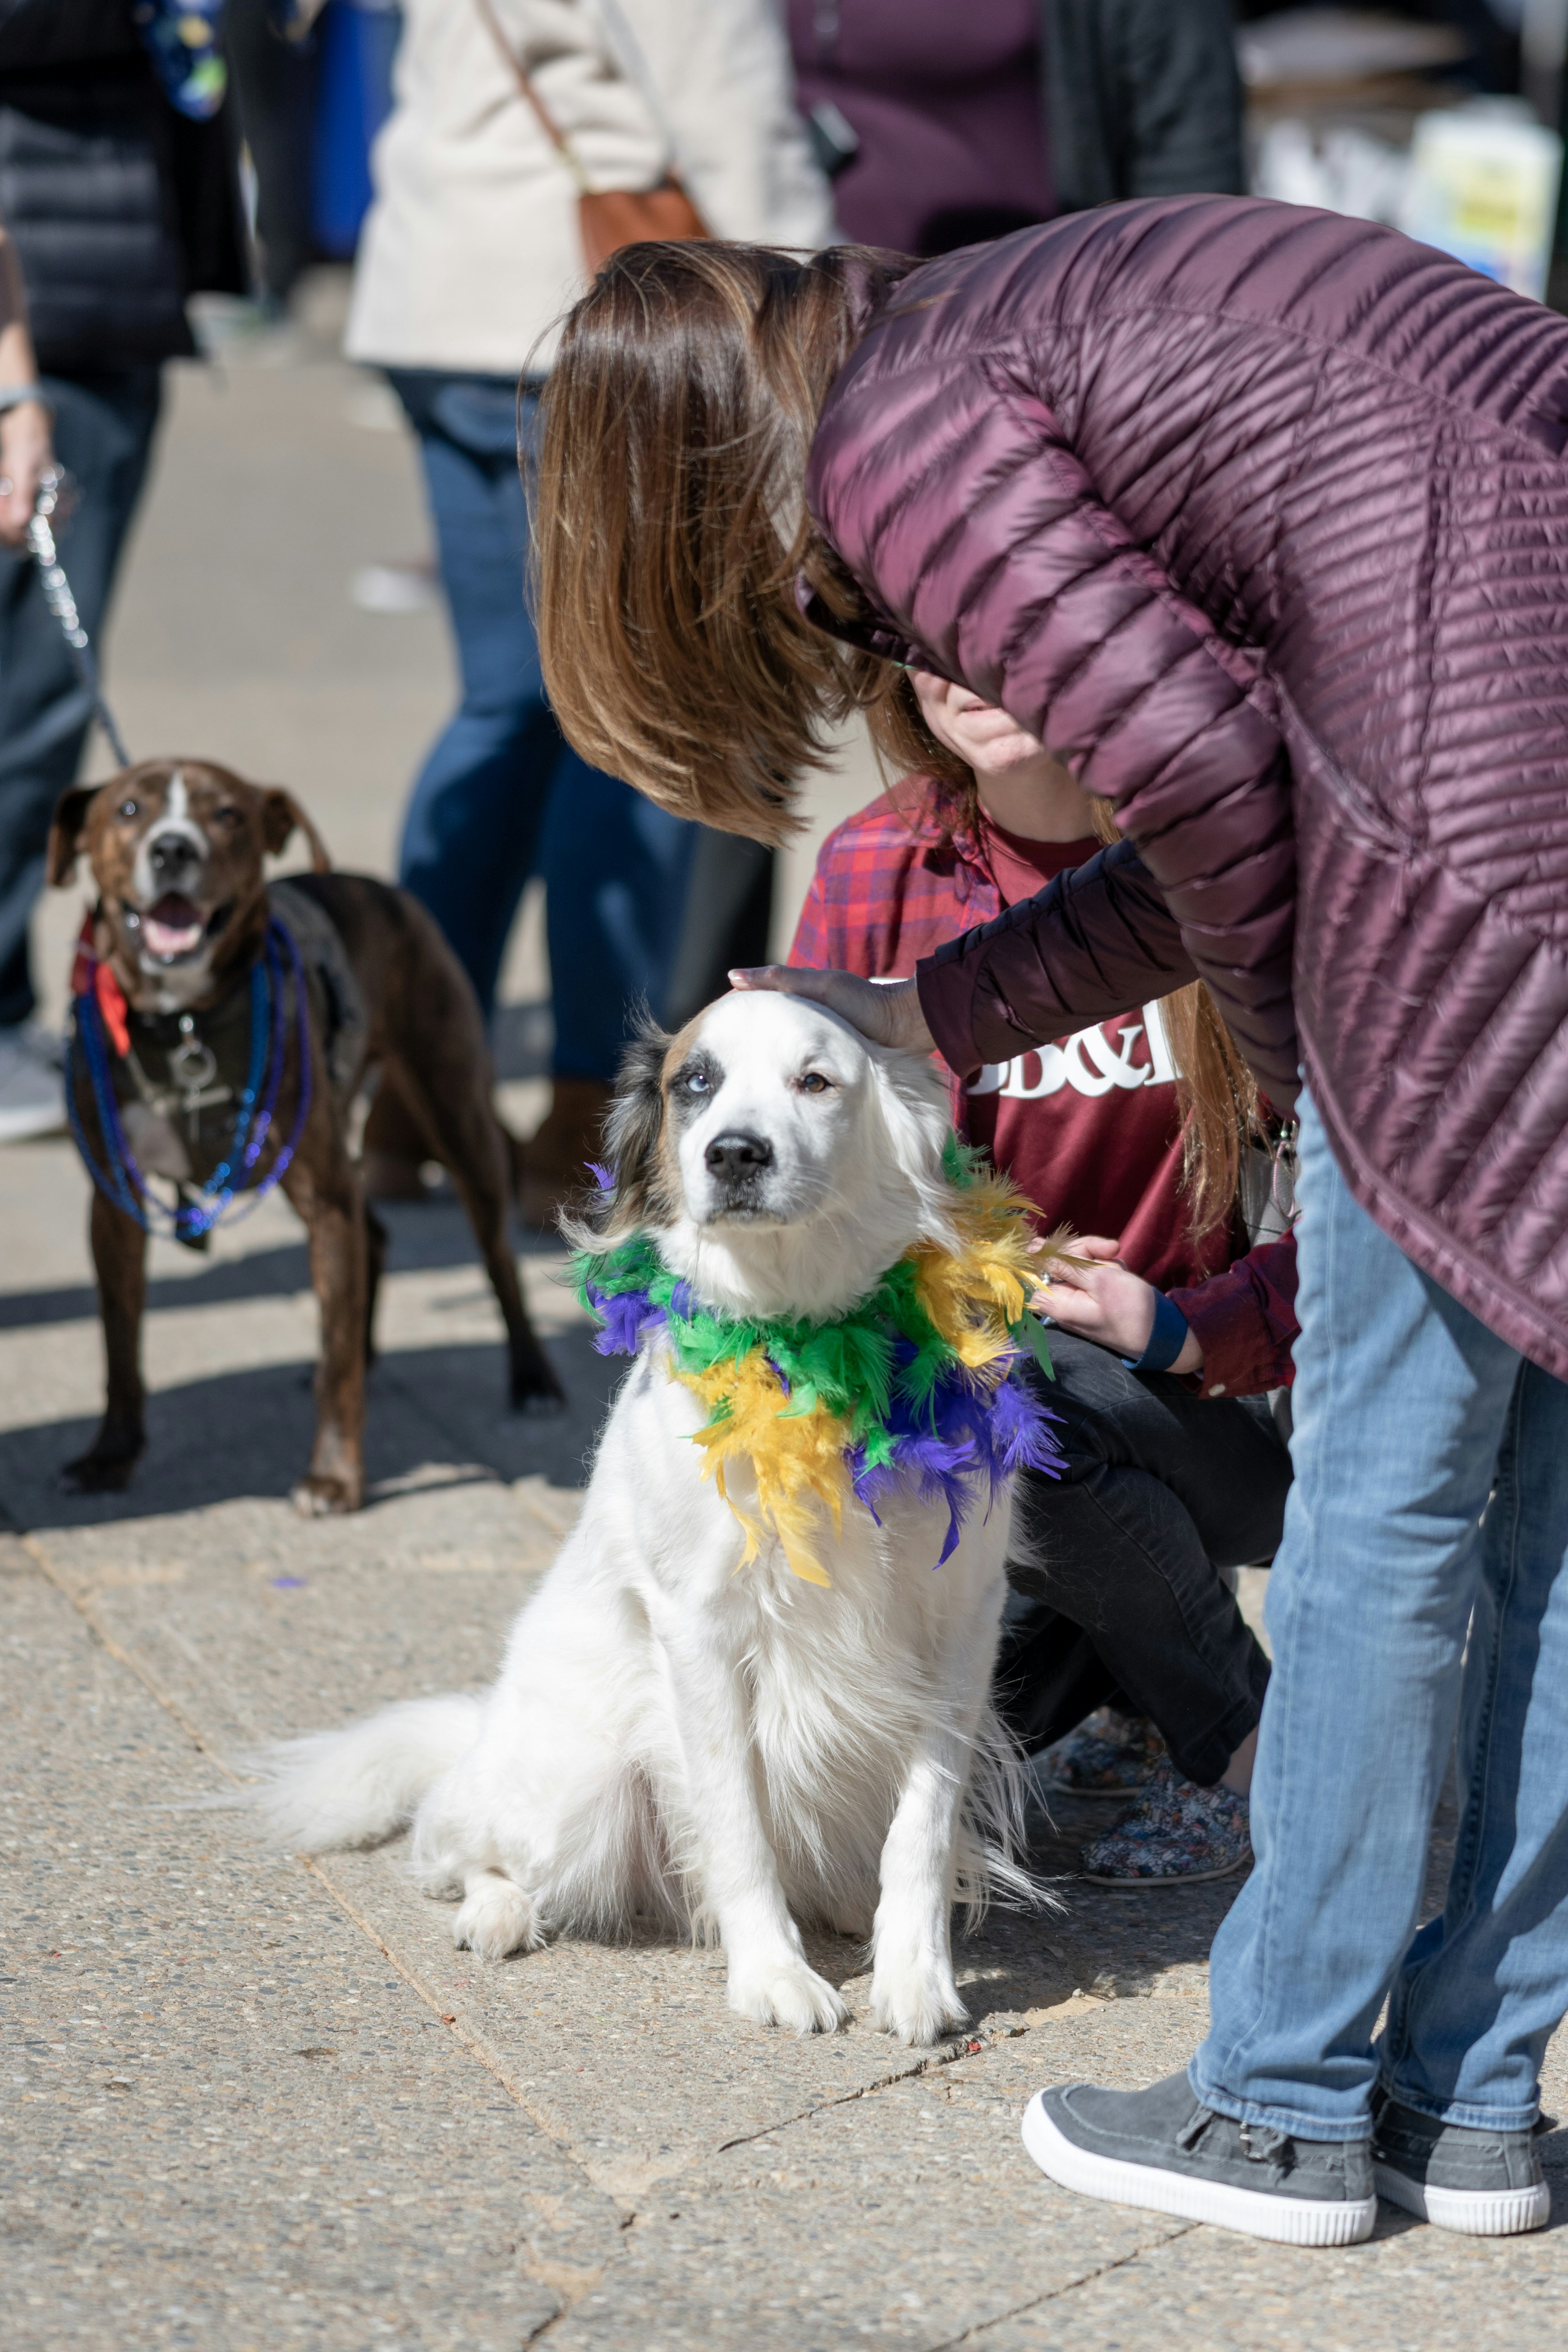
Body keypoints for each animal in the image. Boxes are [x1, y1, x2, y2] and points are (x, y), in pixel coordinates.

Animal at [47, 762, 564, 1514]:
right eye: (130, 809)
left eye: (228, 814)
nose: (173, 849)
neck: (183, 1025)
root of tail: (381, 887)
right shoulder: (114, 1204)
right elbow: (121, 1343)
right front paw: (109, 1457)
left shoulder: (324, 1196)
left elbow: (336, 1364)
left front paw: (334, 1477)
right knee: (372, 1240)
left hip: (456, 1120)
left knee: (498, 1260)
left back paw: (532, 1379)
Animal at [257, 992, 1067, 2041]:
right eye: (697, 1081)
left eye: (815, 1080)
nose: (734, 1154)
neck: (803, 1340)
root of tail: (485, 1731)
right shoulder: (700, 1632)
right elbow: (738, 1821)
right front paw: (771, 1975)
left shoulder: (962, 1623)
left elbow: (920, 1827)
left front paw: (913, 1974)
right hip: (583, 1787)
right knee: (455, 1847)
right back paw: (496, 1911)